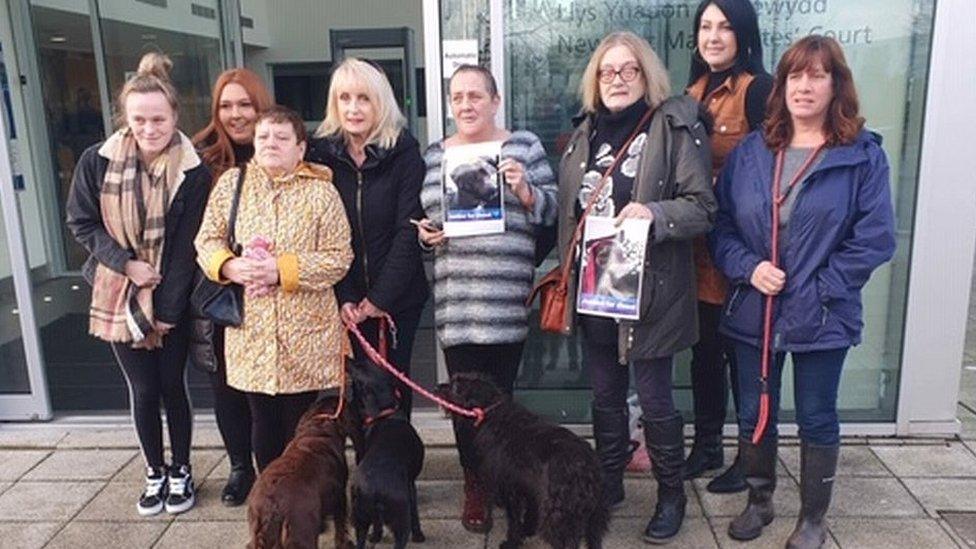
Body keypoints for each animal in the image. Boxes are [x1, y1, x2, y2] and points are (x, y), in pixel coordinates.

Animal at [350, 360, 428, 548]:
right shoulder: (411, 484)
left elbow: (377, 525)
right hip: (401, 520)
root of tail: (373, 488)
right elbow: (415, 512)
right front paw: (419, 535)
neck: (386, 414)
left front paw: (375, 537)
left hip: (360, 519)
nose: (348, 360)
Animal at [444, 370, 608, 544]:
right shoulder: (529, 489)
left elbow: (514, 520)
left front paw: (512, 542)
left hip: (557, 515)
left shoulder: (510, 489)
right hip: (593, 517)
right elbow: (530, 512)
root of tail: (585, 464)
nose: (438, 387)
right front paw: (528, 530)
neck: (491, 410)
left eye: (455, 386)